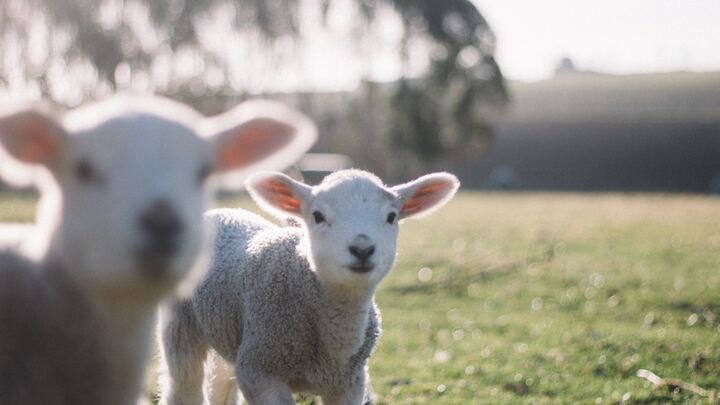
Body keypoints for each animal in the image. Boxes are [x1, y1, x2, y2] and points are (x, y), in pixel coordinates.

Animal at [158, 169, 460, 405]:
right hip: (180, 325)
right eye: (318, 216)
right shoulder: (260, 371)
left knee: (221, 382)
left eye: (391, 217)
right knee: (183, 386)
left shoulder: (350, 383)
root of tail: (223, 211)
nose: (362, 249)